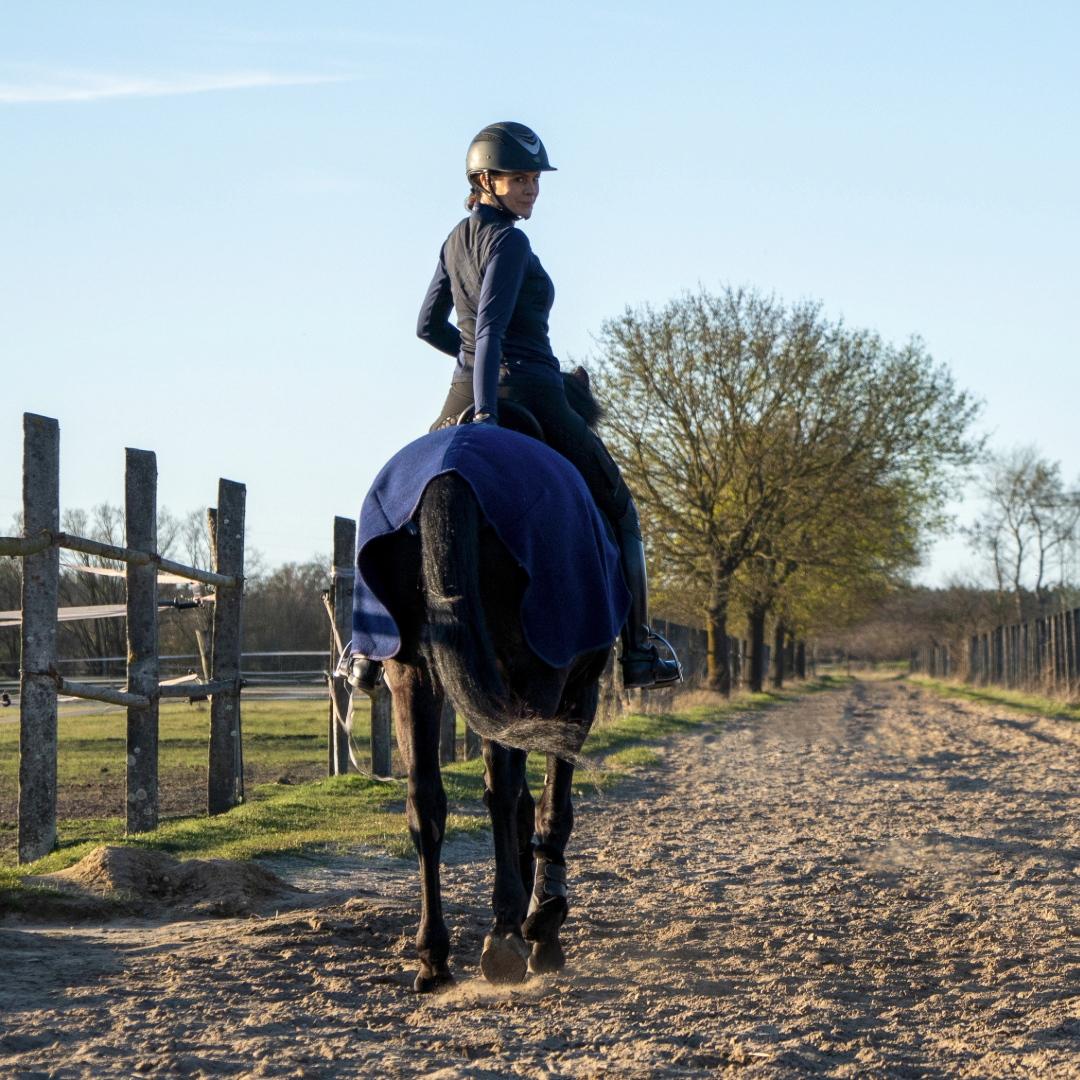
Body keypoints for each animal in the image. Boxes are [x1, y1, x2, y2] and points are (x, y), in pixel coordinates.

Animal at [368, 371, 613, 992]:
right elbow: (550, 804)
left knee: (426, 799)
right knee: (505, 791)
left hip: (413, 674)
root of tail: (453, 469)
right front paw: (544, 919)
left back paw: (434, 956)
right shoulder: (577, 692)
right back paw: (507, 935)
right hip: (538, 674)